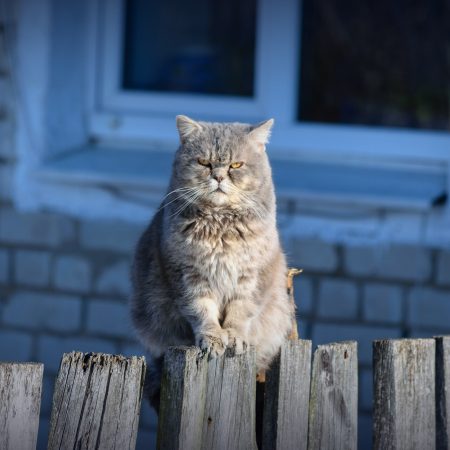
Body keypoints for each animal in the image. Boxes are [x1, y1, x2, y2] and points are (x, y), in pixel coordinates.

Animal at [129, 115, 296, 408]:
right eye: (204, 162)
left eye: (236, 165)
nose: (218, 176)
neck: (220, 224)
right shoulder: (187, 276)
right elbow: (201, 310)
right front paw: (212, 337)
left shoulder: (252, 278)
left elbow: (241, 312)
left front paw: (234, 336)